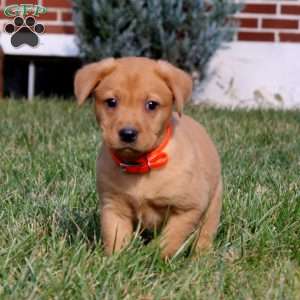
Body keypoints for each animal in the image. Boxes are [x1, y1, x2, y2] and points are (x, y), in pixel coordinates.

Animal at [74, 56, 221, 258]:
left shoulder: (188, 208)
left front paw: (154, 257)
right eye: (111, 102)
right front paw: (117, 260)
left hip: (212, 207)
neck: (141, 165)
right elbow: (115, 238)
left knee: (204, 236)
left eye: (151, 105)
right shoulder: (114, 207)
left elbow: (170, 238)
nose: (128, 134)